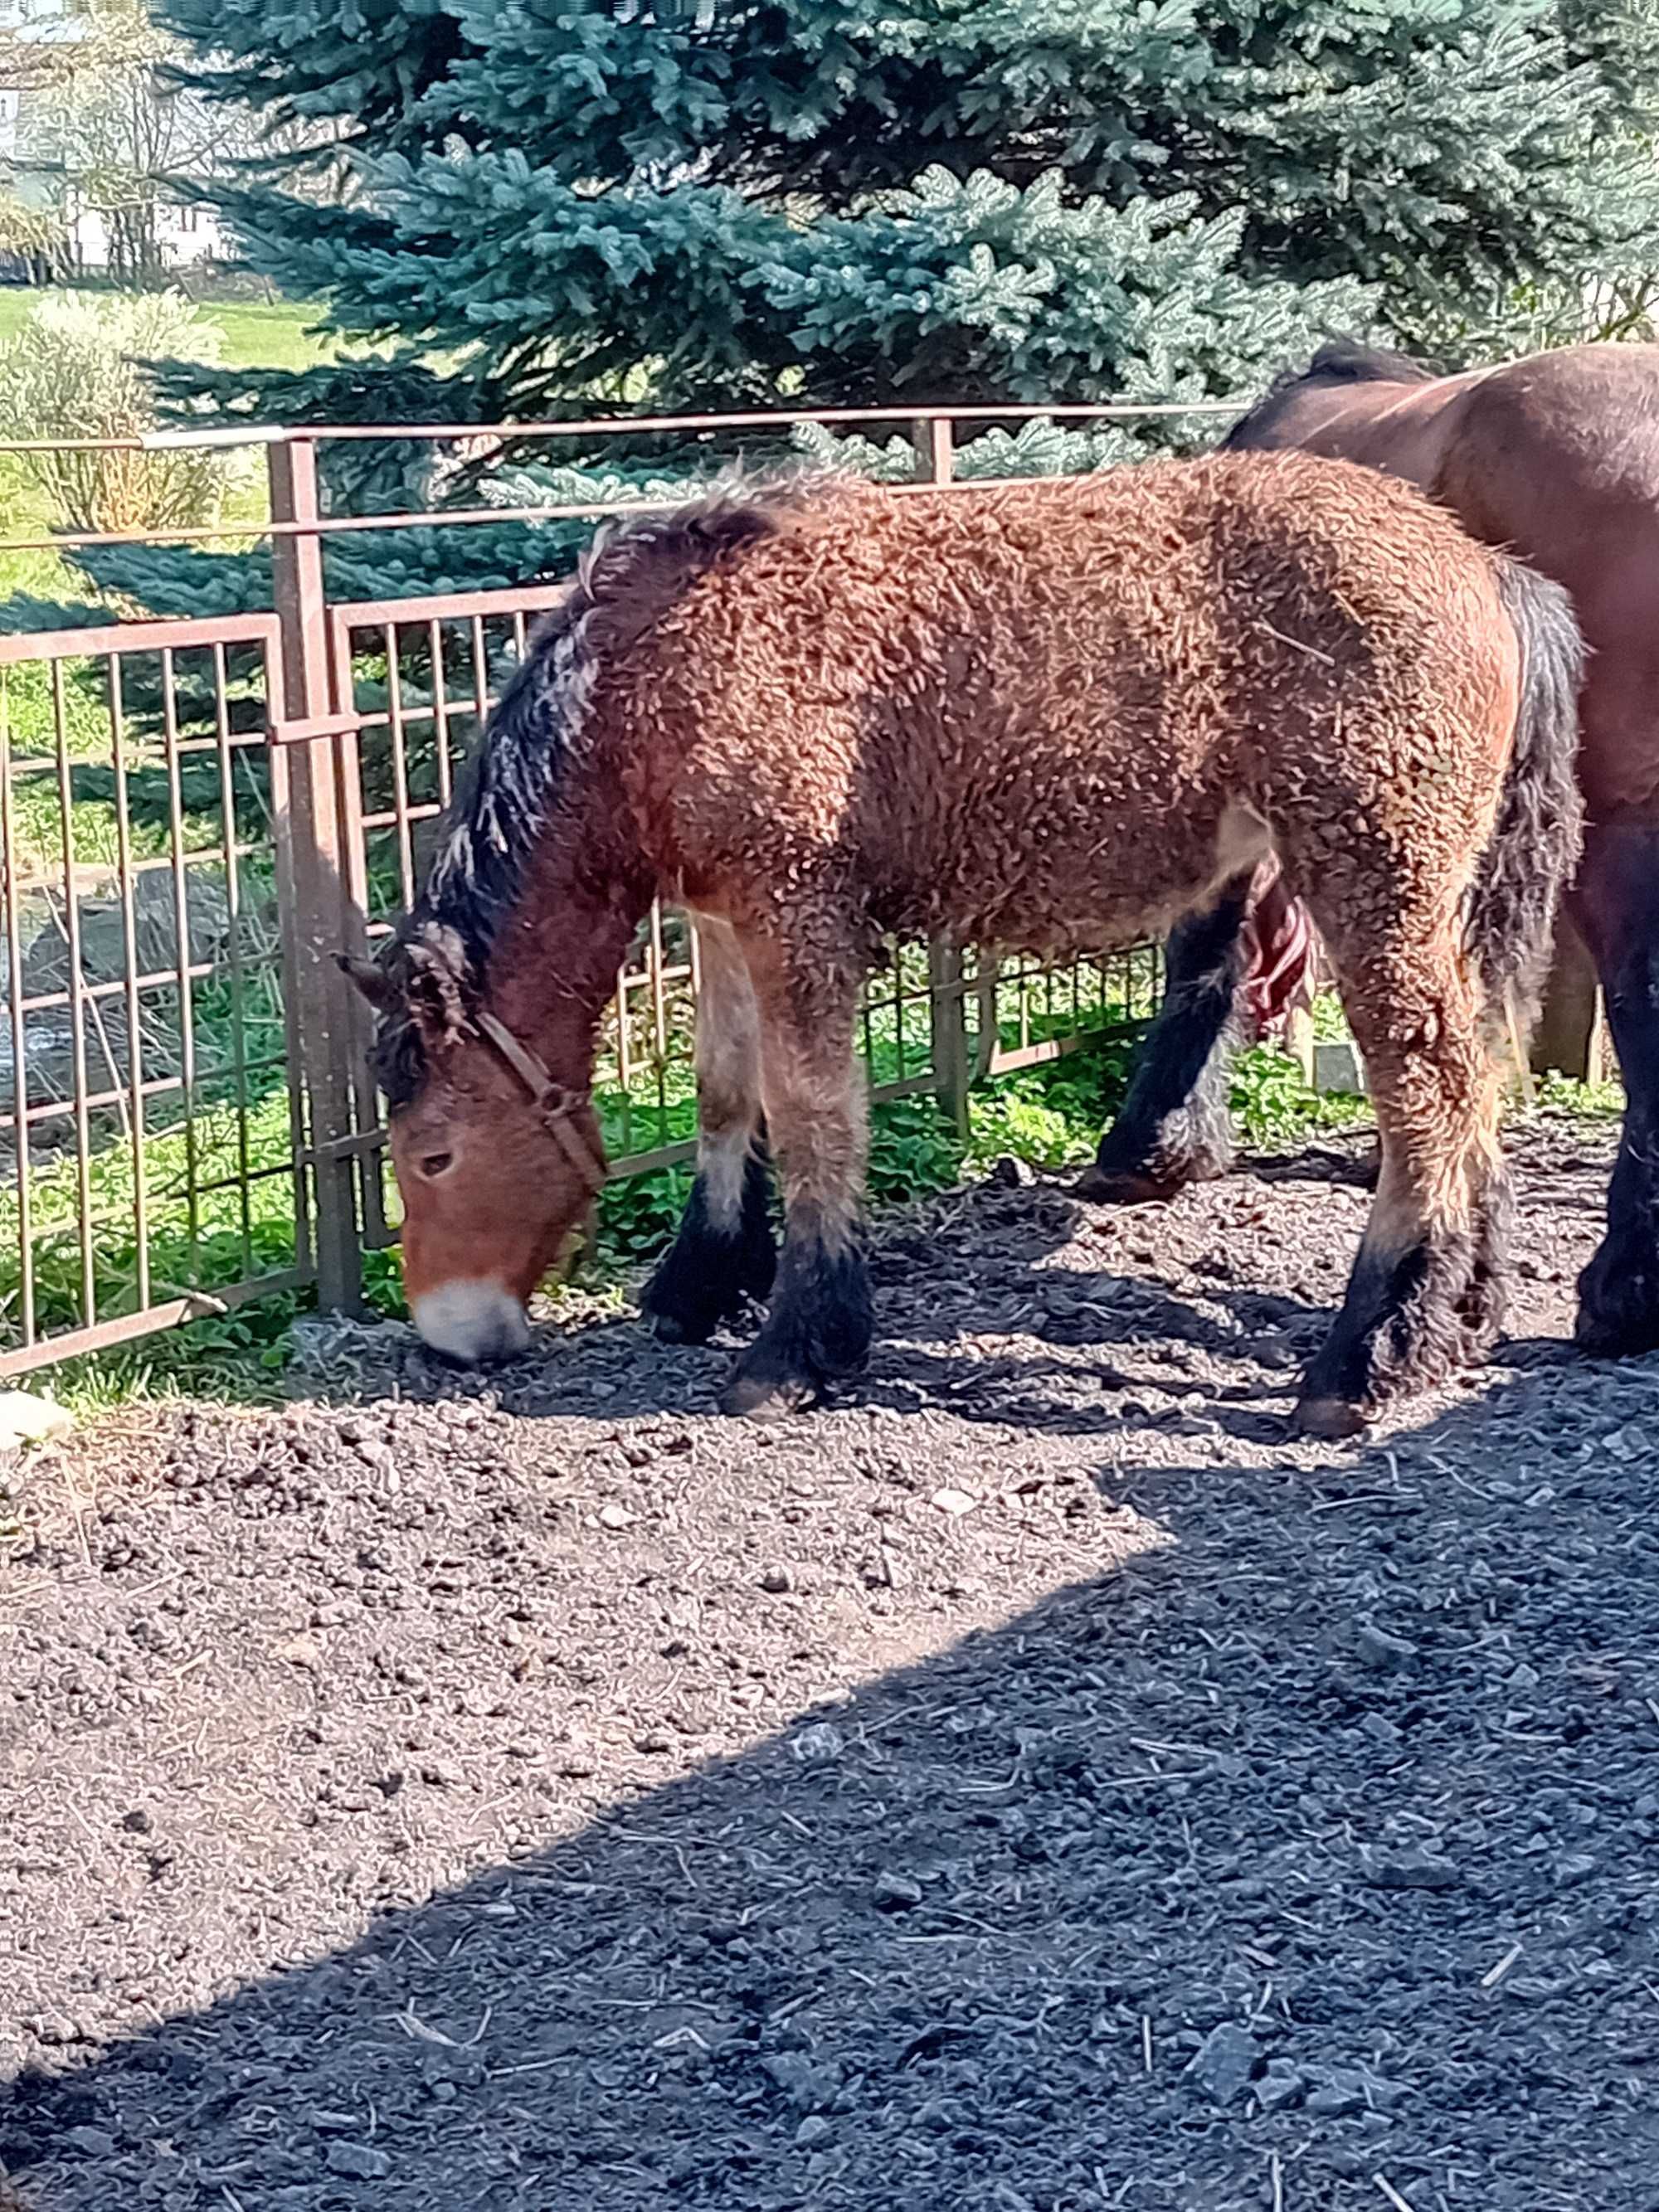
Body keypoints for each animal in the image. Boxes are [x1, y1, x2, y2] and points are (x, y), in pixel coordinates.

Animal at [340, 458, 1584, 1441]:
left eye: (434, 1154)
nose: (449, 1334)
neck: (660, 669)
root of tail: (1489, 570)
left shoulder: (797, 910)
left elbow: (814, 1112)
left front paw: (799, 1346)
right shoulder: (721, 914)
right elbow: (725, 1097)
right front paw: (700, 1280)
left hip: (1374, 875)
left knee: (1426, 1089)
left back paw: (1367, 1357)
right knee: (1474, 1073)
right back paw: (1465, 1306)